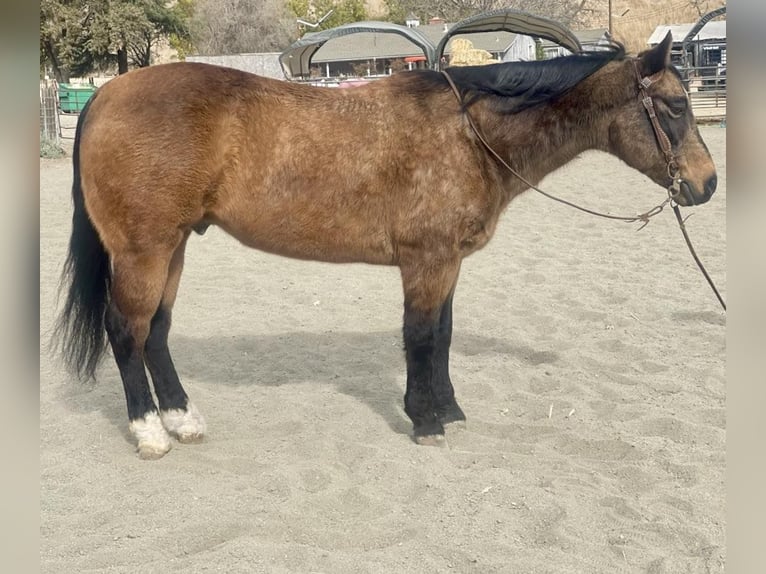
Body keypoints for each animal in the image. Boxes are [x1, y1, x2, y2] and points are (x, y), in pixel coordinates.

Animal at [55, 33, 720, 462]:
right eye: (674, 105)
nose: (707, 185)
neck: (469, 133)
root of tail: (105, 95)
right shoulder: (427, 261)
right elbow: (421, 337)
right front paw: (425, 420)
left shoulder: (447, 263)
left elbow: (443, 335)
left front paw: (448, 411)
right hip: (143, 250)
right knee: (126, 331)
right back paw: (150, 433)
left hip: (173, 247)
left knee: (157, 333)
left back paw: (183, 420)